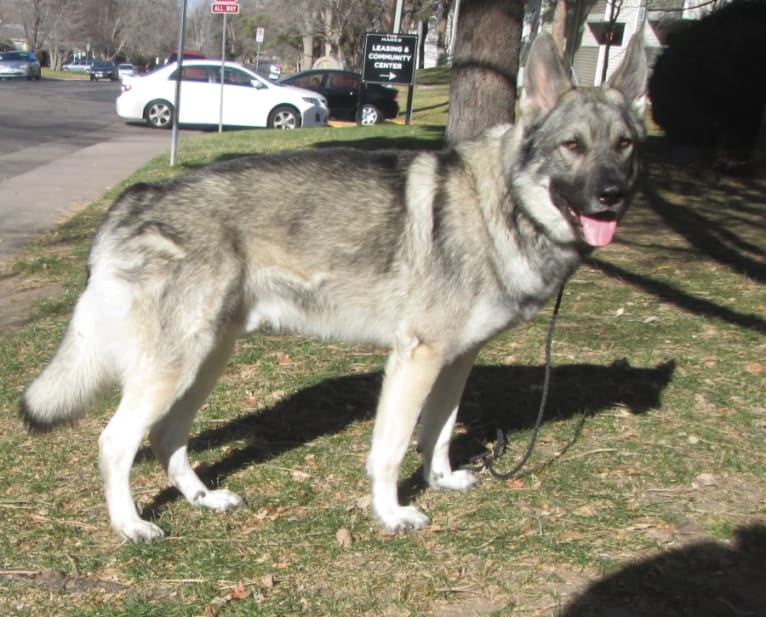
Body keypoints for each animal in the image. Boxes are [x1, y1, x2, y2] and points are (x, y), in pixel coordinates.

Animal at [19, 36, 648, 540]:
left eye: (624, 145)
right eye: (572, 146)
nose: (613, 195)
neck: (501, 206)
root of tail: (135, 197)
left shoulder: (456, 362)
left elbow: (439, 433)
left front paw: (440, 480)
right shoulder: (416, 360)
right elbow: (391, 450)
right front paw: (391, 514)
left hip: (203, 363)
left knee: (167, 438)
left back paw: (202, 499)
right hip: (173, 368)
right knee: (116, 443)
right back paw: (130, 526)